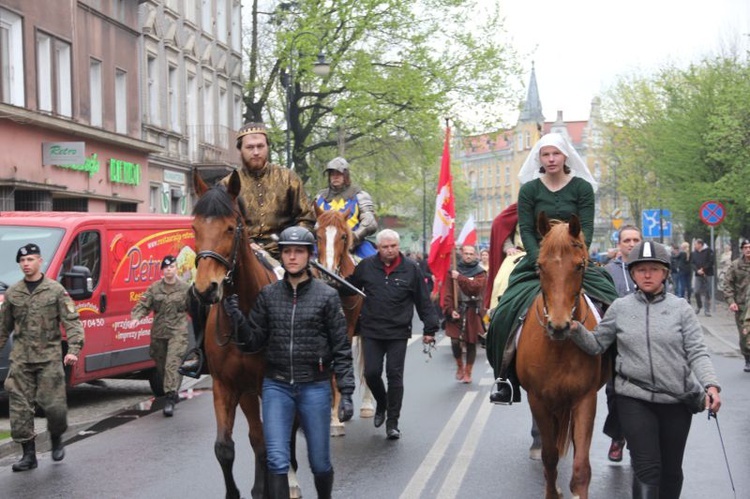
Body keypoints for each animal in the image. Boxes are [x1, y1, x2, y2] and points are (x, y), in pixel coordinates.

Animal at [191, 171, 300, 499]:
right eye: (194, 227)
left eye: (230, 227)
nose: (205, 289)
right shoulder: (225, 386)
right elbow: (225, 448)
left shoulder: (269, 386)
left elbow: (273, 439)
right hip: (247, 392)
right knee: (257, 436)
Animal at [314, 205, 376, 436]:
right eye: (317, 235)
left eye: (342, 236)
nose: (328, 273)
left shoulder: (346, 331)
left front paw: (335, 420)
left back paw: (366, 406)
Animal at [520, 212, 608, 499]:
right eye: (539, 266)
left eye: (580, 266)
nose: (558, 327)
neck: (558, 348)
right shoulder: (537, 400)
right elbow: (549, 457)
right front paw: (552, 491)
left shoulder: (585, 399)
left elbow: (582, 466)